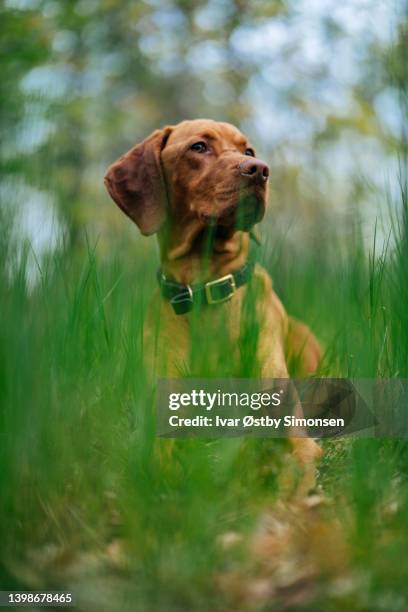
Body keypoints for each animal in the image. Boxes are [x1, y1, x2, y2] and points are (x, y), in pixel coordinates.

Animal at [104, 122, 322, 470]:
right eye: (199, 147)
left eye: (249, 151)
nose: (260, 170)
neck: (206, 283)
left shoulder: (288, 423)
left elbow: (297, 460)